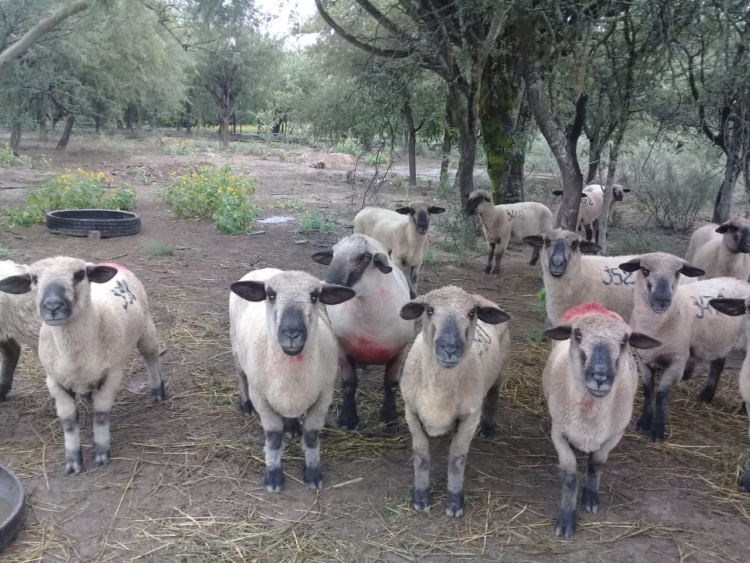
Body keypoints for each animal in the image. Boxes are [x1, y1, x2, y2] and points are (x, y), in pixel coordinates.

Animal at [229, 268, 355, 492]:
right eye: (271, 294)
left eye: (315, 296)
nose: (292, 334)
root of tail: (263, 269)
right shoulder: (261, 398)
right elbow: (273, 438)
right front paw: (273, 476)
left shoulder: (324, 397)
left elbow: (312, 436)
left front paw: (313, 474)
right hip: (236, 349)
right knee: (241, 375)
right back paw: (245, 405)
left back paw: (292, 426)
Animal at [312, 234, 414, 430]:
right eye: (333, 254)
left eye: (366, 258)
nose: (327, 287)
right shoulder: (342, 348)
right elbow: (348, 384)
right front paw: (348, 419)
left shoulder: (401, 349)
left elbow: (391, 384)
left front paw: (389, 418)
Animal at [399, 286, 511, 517]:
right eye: (429, 309)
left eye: (472, 312)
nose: (450, 348)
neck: (437, 394)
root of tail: (481, 296)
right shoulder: (411, 412)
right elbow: (421, 456)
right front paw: (421, 497)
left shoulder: (470, 417)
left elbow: (457, 459)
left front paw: (454, 501)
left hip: (502, 368)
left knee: (494, 394)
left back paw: (489, 427)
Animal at [543, 302, 660, 537]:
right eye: (578, 334)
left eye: (624, 340)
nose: (600, 376)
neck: (590, 414)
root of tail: (593, 305)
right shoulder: (558, 432)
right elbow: (570, 475)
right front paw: (566, 519)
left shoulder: (614, 435)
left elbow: (596, 464)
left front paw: (590, 499)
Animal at [619, 252, 750, 442]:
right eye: (644, 270)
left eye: (677, 273)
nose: (662, 300)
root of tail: (740, 281)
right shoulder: (643, 359)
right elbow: (648, 391)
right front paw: (644, 423)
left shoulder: (677, 362)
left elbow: (661, 395)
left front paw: (657, 431)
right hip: (720, 338)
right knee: (718, 364)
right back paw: (706, 395)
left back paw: (743, 409)